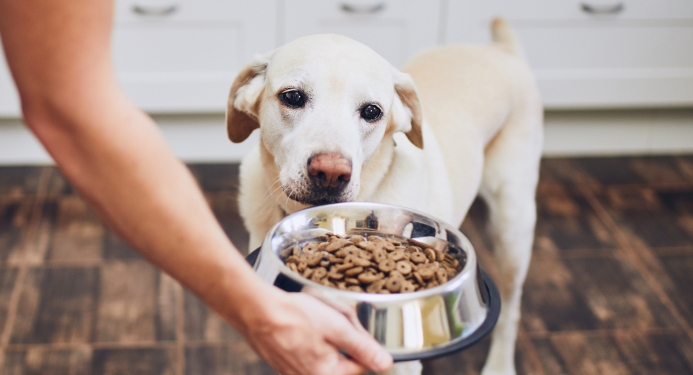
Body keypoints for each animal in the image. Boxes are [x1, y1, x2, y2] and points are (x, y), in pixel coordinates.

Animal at [226, 19, 540, 375]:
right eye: (292, 96)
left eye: (372, 111)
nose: (330, 173)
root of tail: (502, 50)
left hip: (513, 227)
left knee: (511, 309)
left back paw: (500, 365)